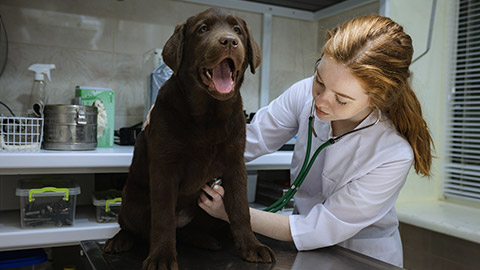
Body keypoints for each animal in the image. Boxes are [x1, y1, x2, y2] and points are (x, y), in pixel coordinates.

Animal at [104, 7, 278, 268]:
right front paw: (161, 257)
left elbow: (241, 209)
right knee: (135, 226)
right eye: (203, 29)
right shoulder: (165, 168)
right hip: (132, 199)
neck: (209, 115)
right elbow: (163, 218)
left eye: (237, 30)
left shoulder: (235, 164)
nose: (229, 41)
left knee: (188, 231)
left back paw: (206, 239)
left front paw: (252, 246)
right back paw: (120, 240)